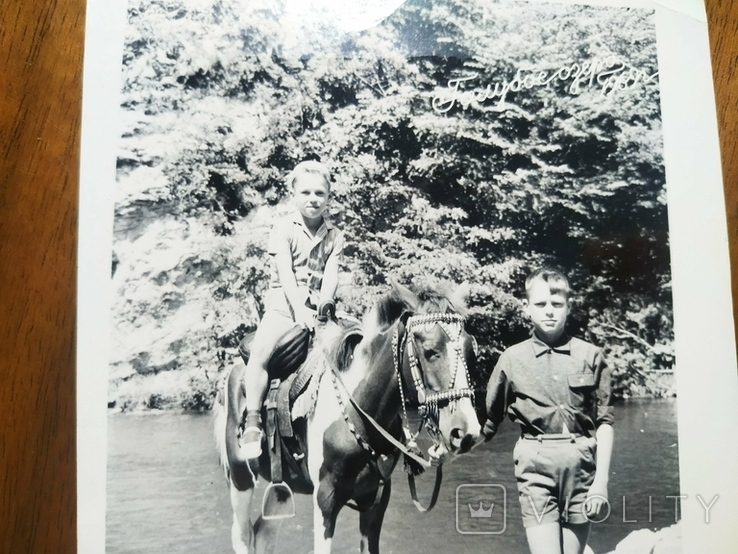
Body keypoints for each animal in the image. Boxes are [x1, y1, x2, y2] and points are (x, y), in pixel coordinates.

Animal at [213, 284, 480, 552]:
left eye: (471, 351)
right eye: (430, 352)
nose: (466, 432)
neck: (357, 411)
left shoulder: (376, 498)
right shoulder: (325, 499)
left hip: (281, 488)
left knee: (263, 533)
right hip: (240, 478)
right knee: (242, 535)